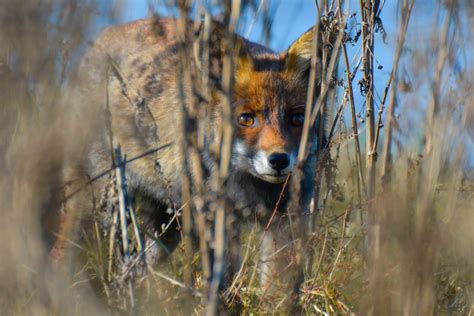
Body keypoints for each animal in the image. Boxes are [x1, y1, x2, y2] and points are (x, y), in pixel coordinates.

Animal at [50, 16, 328, 294]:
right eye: (246, 119)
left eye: (297, 119)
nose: (279, 160)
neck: (251, 189)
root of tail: (100, 39)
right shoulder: (218, 221)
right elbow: (224, 284)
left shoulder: (284, 222)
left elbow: (275, 290)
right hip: (99, 204)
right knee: (61, 255)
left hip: (166, 228)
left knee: (137, 269)